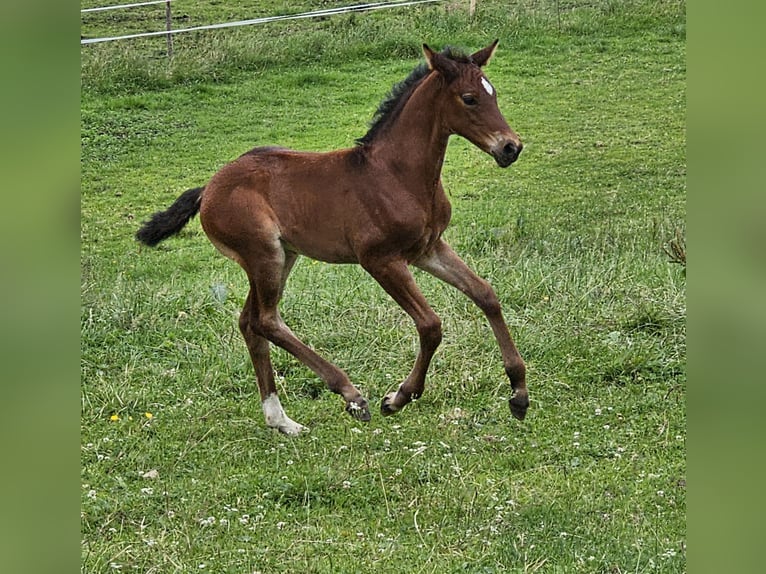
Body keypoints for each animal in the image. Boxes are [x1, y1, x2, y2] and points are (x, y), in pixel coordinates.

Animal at [136, 41, 528, 436]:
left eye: (493, 93)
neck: (397, 175)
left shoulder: (427, 249)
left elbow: (486, 294)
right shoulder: (381, 260)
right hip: (264, 255)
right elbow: (431, 325)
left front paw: (519, 393)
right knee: (266, 320)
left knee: (250, 321)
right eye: (469, 98)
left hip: (282, 256)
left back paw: (281, 419)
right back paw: (351, 395)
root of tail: (208, 189)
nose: (511, 148)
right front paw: (399, 397)